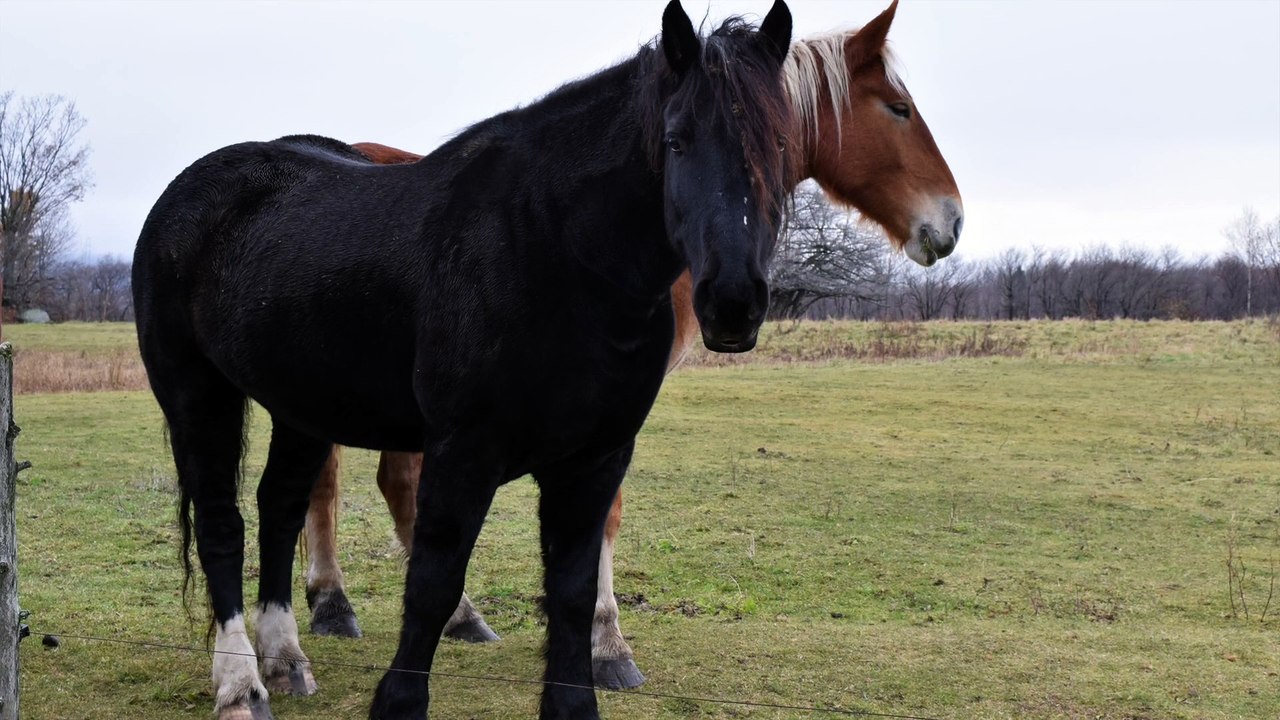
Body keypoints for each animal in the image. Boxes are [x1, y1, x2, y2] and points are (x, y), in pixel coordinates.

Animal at [132, 2, 796, 718]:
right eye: (675, 141)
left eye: (783, 148)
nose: (732, 301)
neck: (553, 250)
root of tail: (187, 193)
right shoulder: (463, 453)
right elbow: (433, 584)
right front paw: (399, 701)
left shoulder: (593, 461)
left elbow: (570, 593)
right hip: (196, 391)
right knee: (220, 522)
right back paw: (241, 685)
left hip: (301, 407)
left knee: (280, 506)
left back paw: (285, 660)